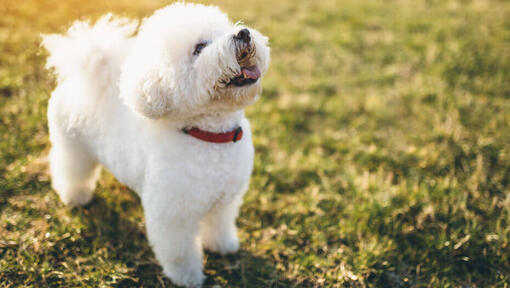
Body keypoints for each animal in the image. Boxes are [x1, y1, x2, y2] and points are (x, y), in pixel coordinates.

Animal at [42, 3, 270, 286]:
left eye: (225, 28)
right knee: (70, 169)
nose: (243, 33)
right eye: (199, 47)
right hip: (73, 146)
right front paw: (187, 277)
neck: (208, 136)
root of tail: (78, 80)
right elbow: (179, 252)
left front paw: (223, 246)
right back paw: (75, 196)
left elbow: (219, 225)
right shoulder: (173, 215)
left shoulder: (224, 200)